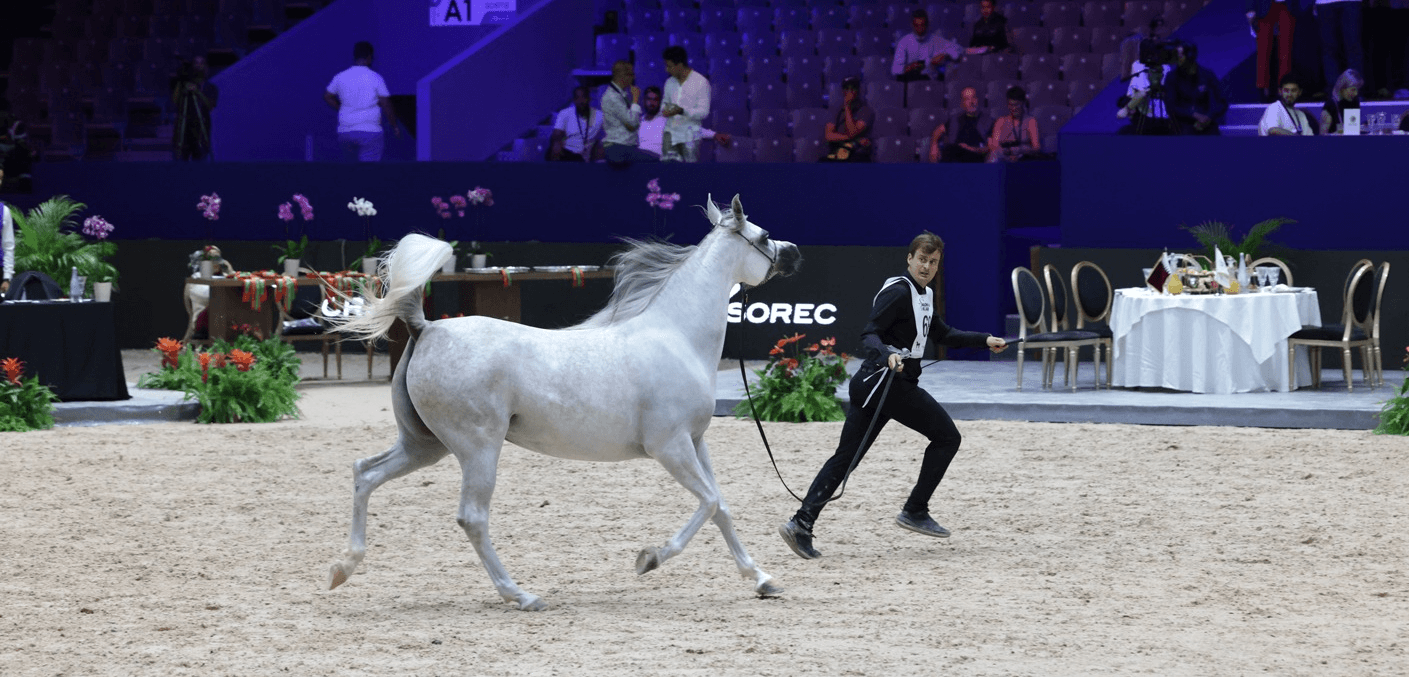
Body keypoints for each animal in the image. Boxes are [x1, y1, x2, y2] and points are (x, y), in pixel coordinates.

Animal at [325, 194, 802, 610]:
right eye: (763, 236)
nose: (795, 254)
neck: (676, 337)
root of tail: (427, 328)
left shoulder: (695, 442)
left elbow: (721, 506)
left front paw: (762, 579)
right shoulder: (670, 447)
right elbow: (707, 503)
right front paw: (649, 559)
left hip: (424, 445)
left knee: (365, 473)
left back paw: (341, 569)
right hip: (478, 449)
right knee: (472, 517)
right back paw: (521, 596)